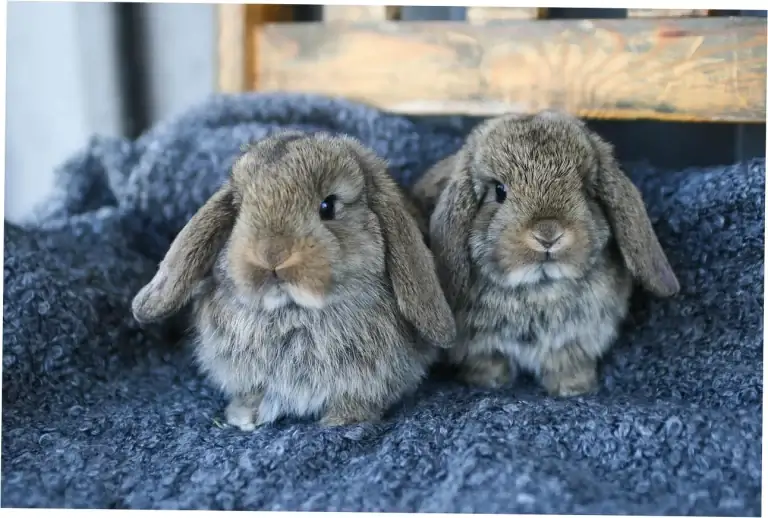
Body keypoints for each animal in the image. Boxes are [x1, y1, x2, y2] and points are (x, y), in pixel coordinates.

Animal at [131, 131, 456, 429]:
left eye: (328, 206)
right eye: (240, 209)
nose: (271, 255)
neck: (294, 311)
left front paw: (342, 420)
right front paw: (245, 416)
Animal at [412, 110, 680, 397]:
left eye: (584, 190)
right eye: (499, 191)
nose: (548, 234)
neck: (539, 286)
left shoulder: (574, 340)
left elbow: (567, 362)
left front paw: (574, 388)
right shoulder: (482, 346)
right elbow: (488, 361)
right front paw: (487, 383)